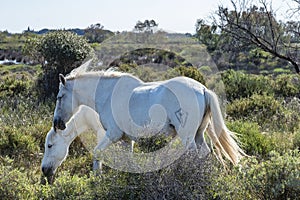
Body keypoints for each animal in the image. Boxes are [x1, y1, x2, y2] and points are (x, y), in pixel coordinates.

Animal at [41, 70, 245, 181]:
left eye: (60, 97)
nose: (58, 123)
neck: (107, 95)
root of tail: (202, 89)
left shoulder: (112, 135)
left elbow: (97, 153)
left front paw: (96, 179)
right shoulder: (126, 140)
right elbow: (129, 161)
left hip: (188, 138)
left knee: (195, 157)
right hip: (198, 135)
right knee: (205, 154)